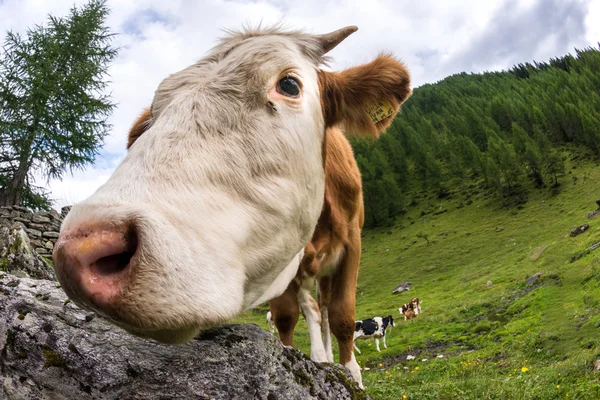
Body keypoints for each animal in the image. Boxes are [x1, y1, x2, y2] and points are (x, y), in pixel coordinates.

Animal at [51, 25, 410, 388]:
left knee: (323, 311)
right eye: (155, 114)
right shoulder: (280, 260)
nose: (81, 247)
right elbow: (286, 318)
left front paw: (352, 376)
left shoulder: (352, 241)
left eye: (289, 85)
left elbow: (342, 316)